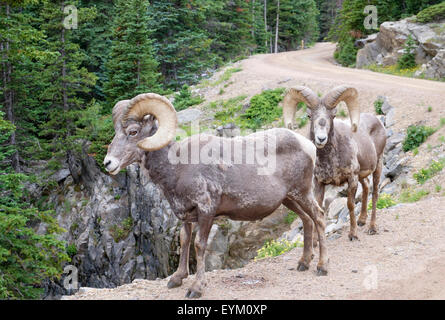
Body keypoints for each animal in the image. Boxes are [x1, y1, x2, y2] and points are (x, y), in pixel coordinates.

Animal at [104, 92, 326, 298]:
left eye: (133, 132)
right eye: (115, 132)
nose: (108, 163)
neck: (177, 168)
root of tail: (308, 145)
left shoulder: (206, 212)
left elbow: (199, 245)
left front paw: (196, 288)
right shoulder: (185, 215)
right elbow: (184, 240)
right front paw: (177, 279)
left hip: (302, 193)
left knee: (319, 217)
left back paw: (321, 267)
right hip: (290, 199)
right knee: (307, 220)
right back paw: (303, 263)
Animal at [284, 86, 386, 239]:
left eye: (333, 116)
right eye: (309, 116)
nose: (321, 139)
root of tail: (378, 121)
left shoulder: (352, 178)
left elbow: (350, 205)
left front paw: (353, 234)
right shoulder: (319, 183)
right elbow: (319, 210)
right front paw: (315, 243)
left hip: (378, 165)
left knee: (375, 194)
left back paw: (372, 228)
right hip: (362, 175)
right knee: (366, 187)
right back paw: (362, 220)